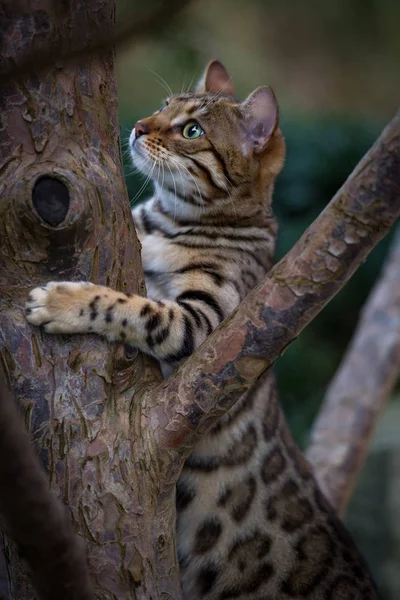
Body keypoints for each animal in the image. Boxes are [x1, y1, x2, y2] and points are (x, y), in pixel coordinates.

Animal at [26, 59, 380, 596]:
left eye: (192, 130)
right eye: (164, 106)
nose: (138, 127)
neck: (168, 222)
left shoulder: (206, 322)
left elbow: (134, 308)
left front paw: (64, 300)